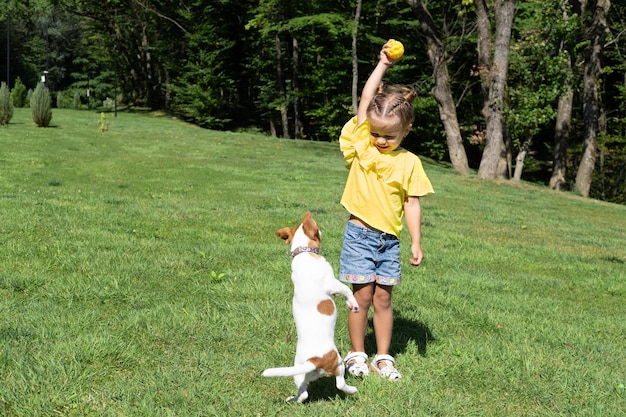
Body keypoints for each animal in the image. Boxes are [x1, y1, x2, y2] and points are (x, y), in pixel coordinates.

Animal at [260, 213, 358, 402]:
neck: (304, 252)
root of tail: (314, 360)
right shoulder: (332, 283)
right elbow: (346, 290)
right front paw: (353, 304)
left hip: (300, 375)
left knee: (304, 393)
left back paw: (293, 399)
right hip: (339, 364)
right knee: (340, 384)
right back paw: (352, 390)